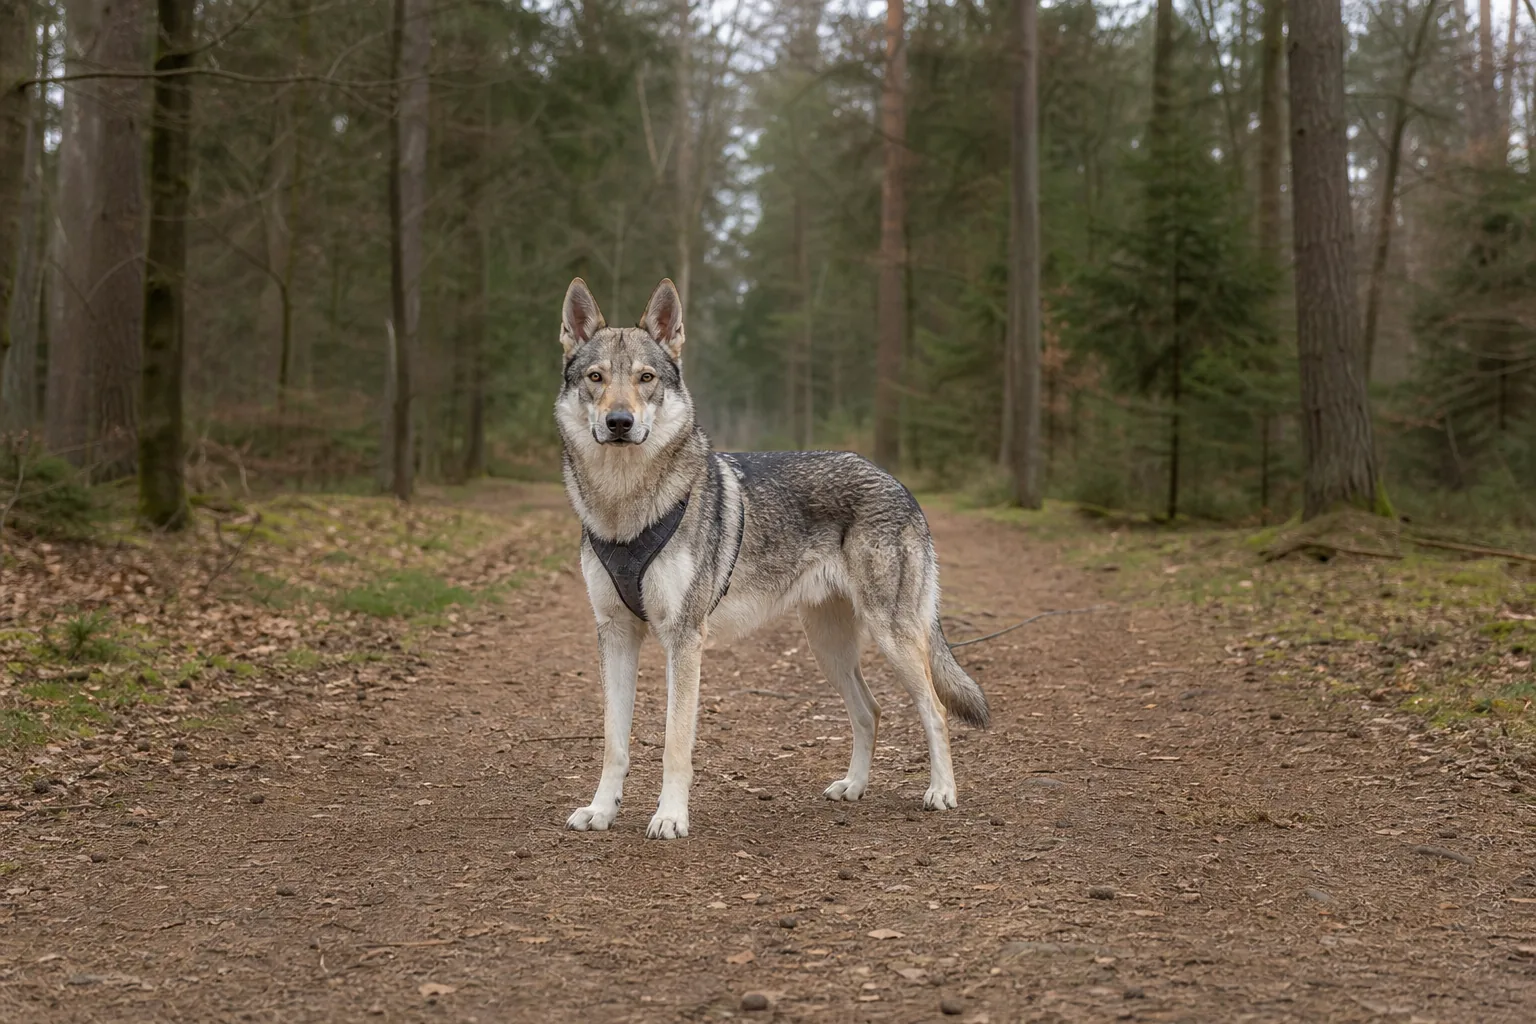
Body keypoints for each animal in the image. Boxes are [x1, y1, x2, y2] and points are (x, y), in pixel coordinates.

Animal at [555, 277, 988, 839]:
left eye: (646, 378)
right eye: (596, 378)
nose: (620, 422)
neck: (624, 507)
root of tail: (898, 482)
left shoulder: (684, 638)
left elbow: (675, 742)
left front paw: (670, 816)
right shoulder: (615, 633)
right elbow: (614, 742)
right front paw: (602, 810)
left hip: (891, 637)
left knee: (933, 708)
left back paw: (942, 792)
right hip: (829, 647)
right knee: (870, 711)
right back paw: (854, 787)